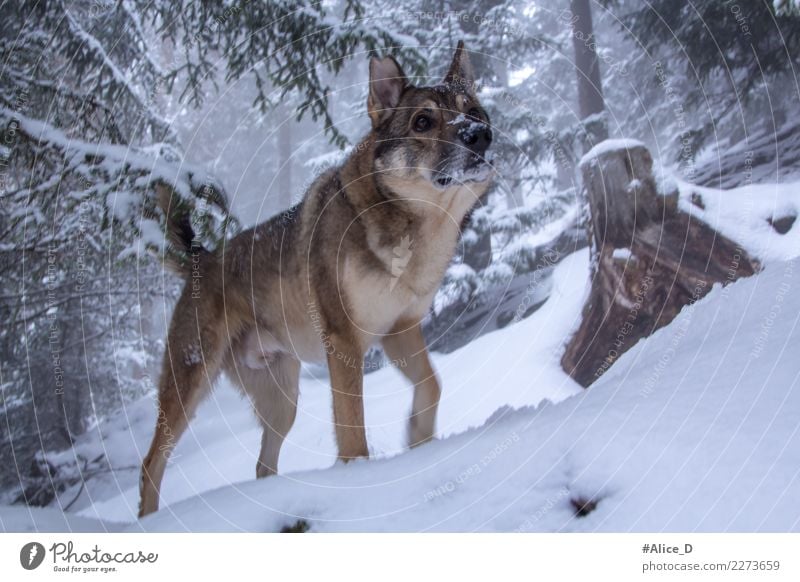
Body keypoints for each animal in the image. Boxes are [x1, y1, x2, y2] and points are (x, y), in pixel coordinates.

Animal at [139, 41, 494, 516]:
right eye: (423, 121)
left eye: (473, 111)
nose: (480, 135)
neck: (412, 225)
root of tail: (203, 259)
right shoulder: (344, 342)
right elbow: (352, 428)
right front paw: (360, 477)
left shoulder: (399, 330)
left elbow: (432, 386)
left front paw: (418, 435)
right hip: (190, 386)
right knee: (150, 464)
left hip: (283, 401)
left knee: (262, 465)